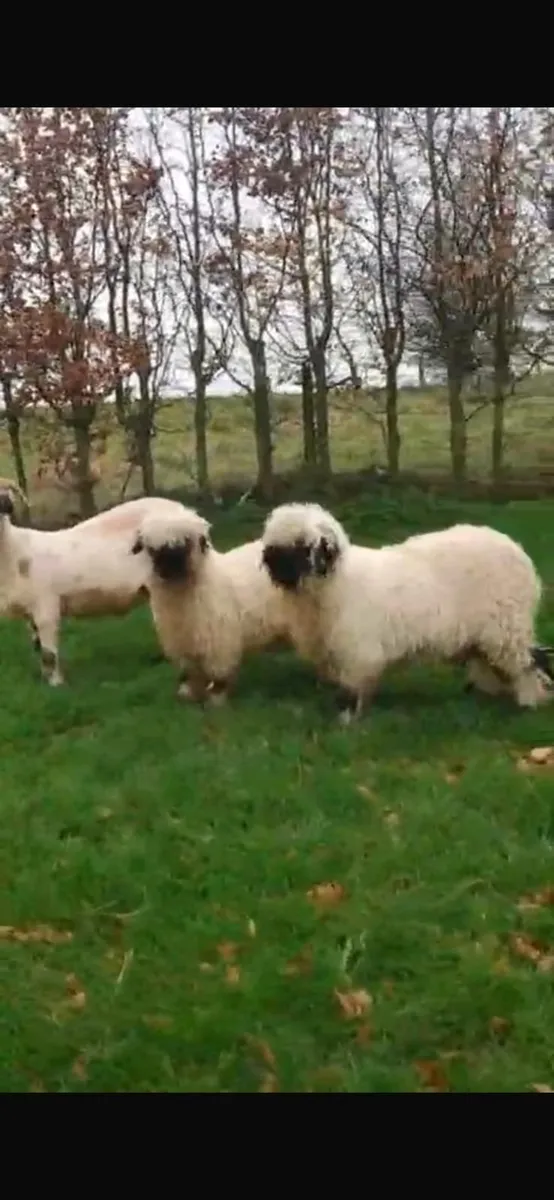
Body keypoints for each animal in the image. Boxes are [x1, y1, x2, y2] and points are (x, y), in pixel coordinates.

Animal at [0, 485, 193, 685]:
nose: (6, 503)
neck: (16, 550)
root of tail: (186, 511)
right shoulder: (30, 613)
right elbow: (38, 647)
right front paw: (45, 679)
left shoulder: (46, 605)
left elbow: (49, 654)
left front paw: (56, 684)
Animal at [130, 505, 288, 705]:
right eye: (151, 549)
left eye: (186, 542)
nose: (167, 570)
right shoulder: (183, 643)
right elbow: (190, 673)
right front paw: (189, 694)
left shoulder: (219, 642)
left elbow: (218, 673)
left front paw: (216, 699)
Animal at [260, 501, 554, 723]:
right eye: (276, 549)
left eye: (306, 547)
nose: (283, 573)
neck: (337, 584)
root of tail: (520, 553)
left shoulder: (358, 649)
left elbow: (351, 689)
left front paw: (346, 721)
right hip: (490, 632)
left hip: (506, 625)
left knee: (529, 661)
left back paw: (529, 701)